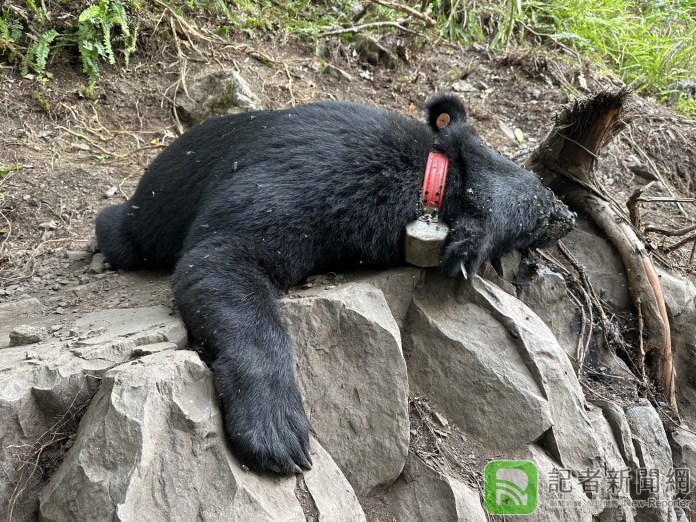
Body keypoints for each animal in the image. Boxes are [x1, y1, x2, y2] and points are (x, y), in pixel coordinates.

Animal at [96, 95, 575, 475]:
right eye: (543, 212)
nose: (569, 215)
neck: (431, 182)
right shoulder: (309, 183)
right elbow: (221, 257)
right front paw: (278, 434)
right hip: (155, 210)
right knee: (128, 233)